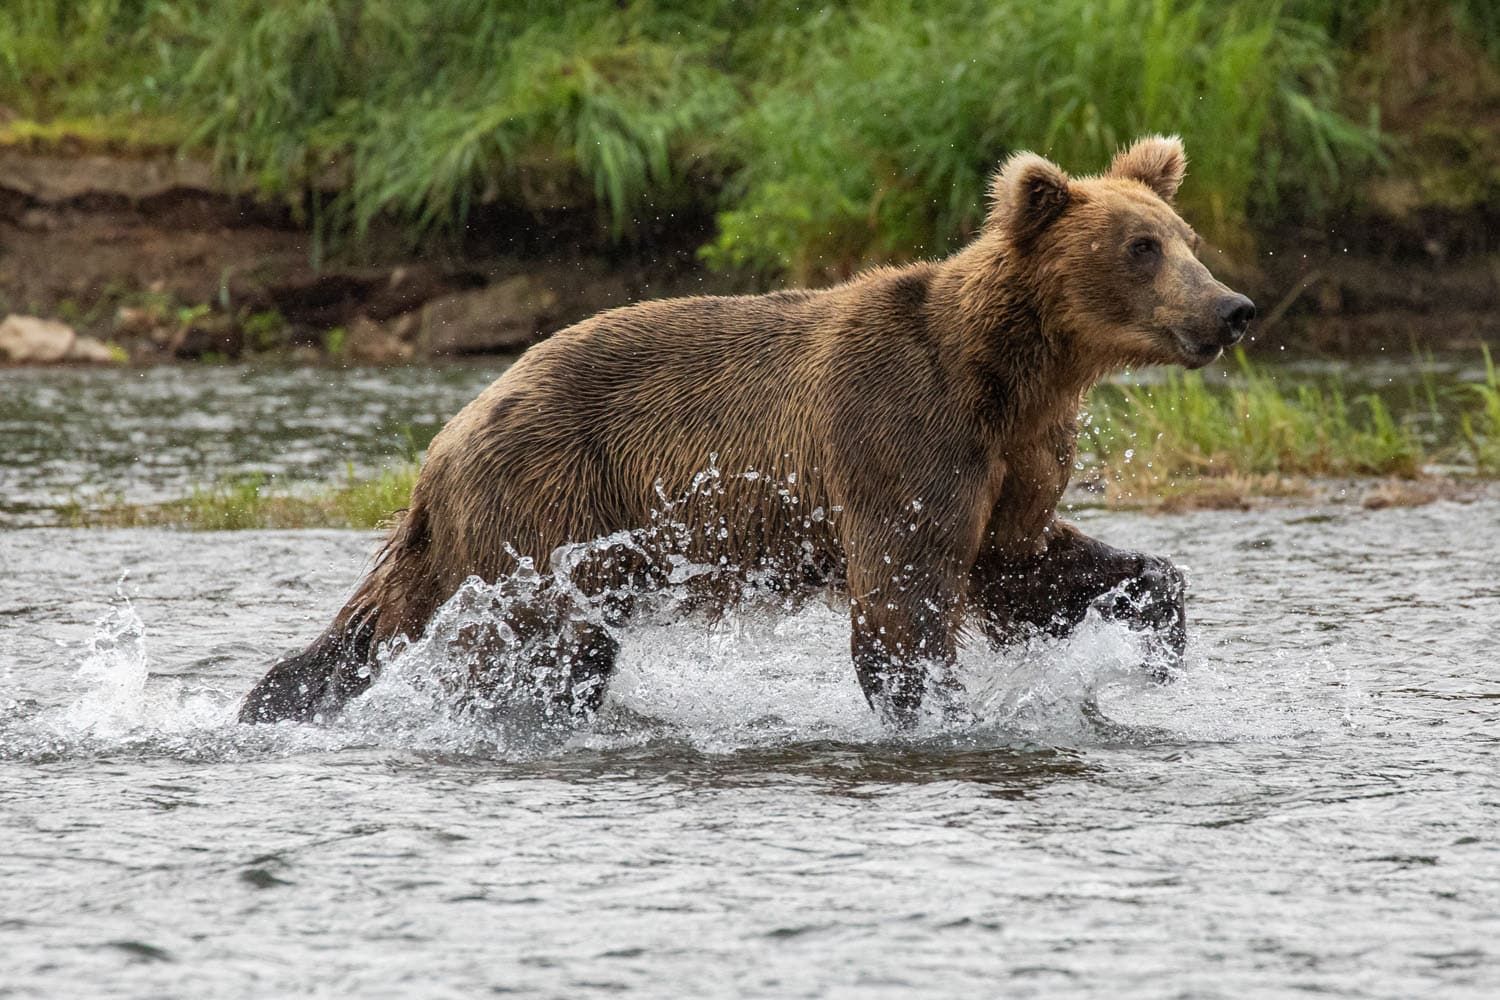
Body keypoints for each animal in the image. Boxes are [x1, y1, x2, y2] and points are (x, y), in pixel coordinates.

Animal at [240, 134, 1254, 728]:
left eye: (1186, 235)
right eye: (1141, 248)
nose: (1233, 308)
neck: (1013, 375)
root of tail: (444, 440)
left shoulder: (1016, 459)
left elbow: (1029, 564)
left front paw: (1157, 647)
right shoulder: (903, 436)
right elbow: (907, 602)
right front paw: (938, 710)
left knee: (385, 621)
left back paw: (275, 699)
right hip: (547, 502)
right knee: (541, 643)